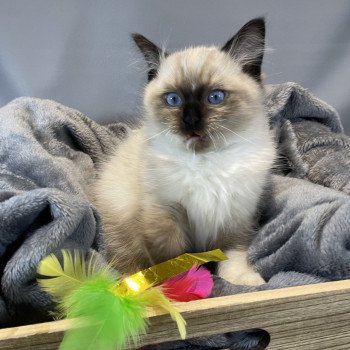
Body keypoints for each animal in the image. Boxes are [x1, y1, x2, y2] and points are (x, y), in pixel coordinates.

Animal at [93, 17, 276, 286]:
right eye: (173, 100)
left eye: (215, 97)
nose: (190, 121)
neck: (207, 161)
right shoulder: (166, 213)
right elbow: (172, 259)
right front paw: (178, 286)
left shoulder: (237, 212)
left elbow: (233, 252)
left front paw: (242, 281)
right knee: (127, 261)